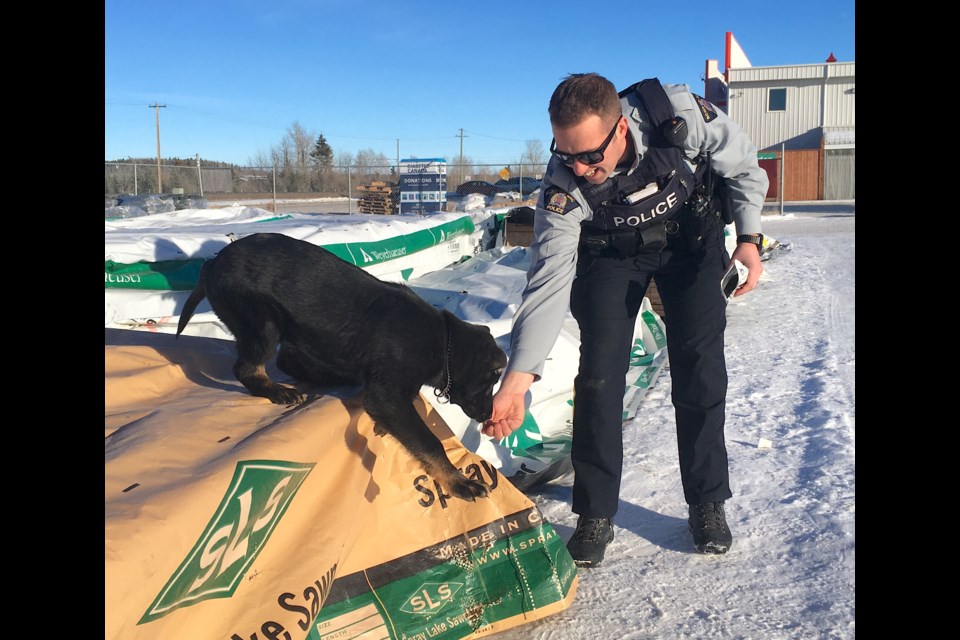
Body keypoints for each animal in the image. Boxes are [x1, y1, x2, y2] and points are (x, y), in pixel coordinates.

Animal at [180, 232, 510, 502]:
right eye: (490, 381)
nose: (488, 416)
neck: (444, 342)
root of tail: (213, 263)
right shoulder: (387, 397)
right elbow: (429, 443)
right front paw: (458, 481)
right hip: (263, 324)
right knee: (247, 369)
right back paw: (277, 391)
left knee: (285, 361)